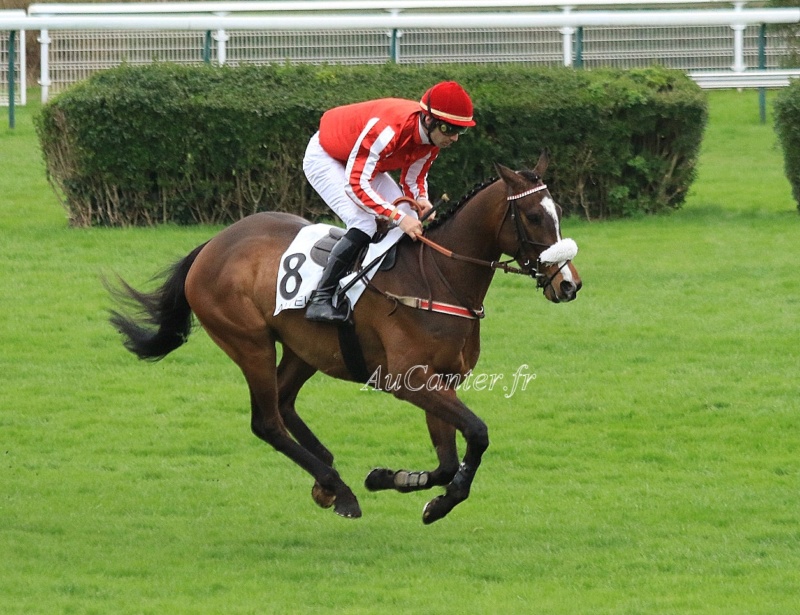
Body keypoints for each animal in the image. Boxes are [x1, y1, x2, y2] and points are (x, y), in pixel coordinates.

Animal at [106, 154, 580, 524]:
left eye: (558, 213)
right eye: (534, 216)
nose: (569, 285)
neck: (439, 278)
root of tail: (212, 244)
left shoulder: (441, 380)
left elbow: (446, 461)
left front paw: (397, 480)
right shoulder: (409, 380)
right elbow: (478, 434)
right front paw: (440, 502)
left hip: (305, 348)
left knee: (283, 402)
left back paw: (327, 480)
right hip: (249, 342)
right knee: (267, 421)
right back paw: (339, 488)